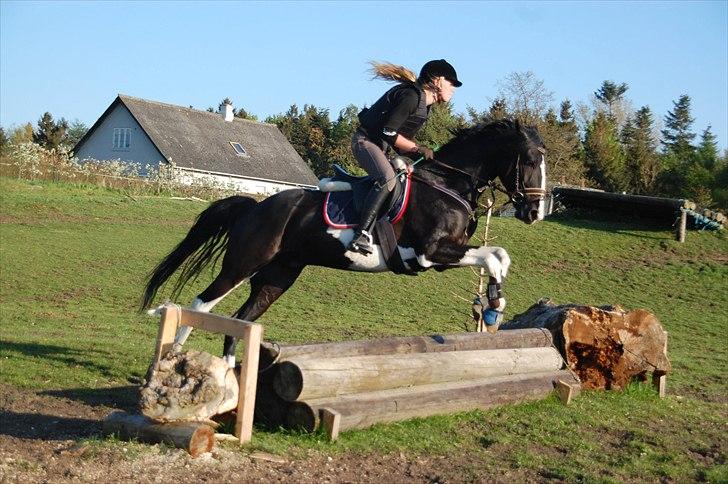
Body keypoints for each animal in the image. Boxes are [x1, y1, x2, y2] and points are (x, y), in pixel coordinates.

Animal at [141, 120, 544, 366]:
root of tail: (255, 207)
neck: (448, 183)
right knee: (203, 303)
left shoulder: (448, 252)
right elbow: (491, 259)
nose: (535, 211)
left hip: (277, 278)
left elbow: (499, 255)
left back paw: (231, 374)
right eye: (530, 159)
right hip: (243, 263)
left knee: (241, 319)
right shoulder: (430, 253)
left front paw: (494, 303)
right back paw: (172, 356)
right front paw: (493, 303)